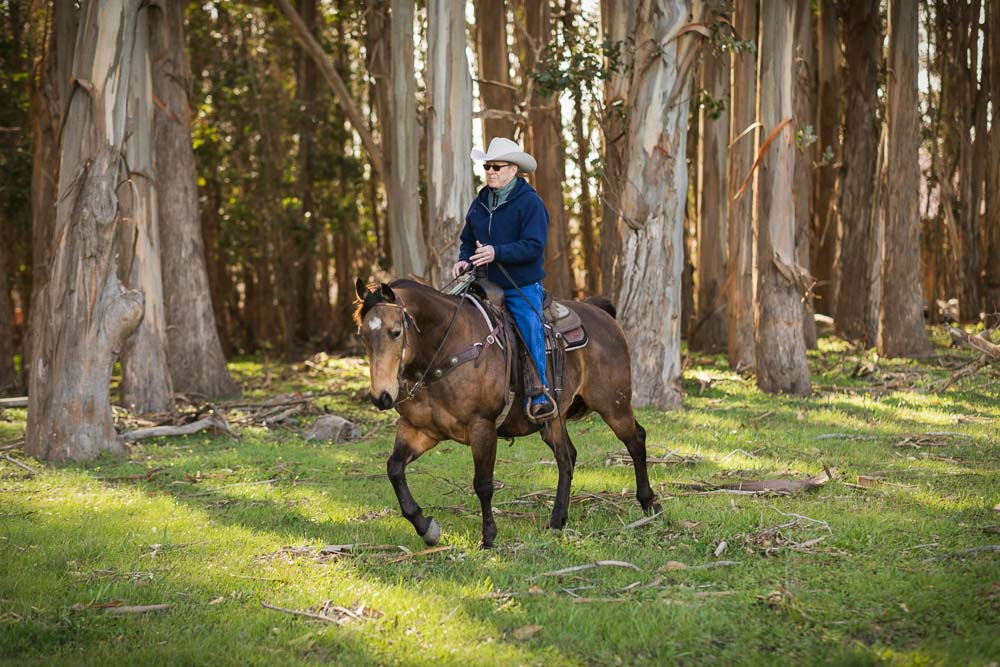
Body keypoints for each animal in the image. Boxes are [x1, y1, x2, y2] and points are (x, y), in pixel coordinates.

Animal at [356, 278, 660, 548]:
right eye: (363, 335)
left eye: (396, 332)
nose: (381, 396)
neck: (445, 349)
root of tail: (601, 314)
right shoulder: (419, 429)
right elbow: (394, 469)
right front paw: (426, 528)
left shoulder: (482, 427)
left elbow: (483, 484)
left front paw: (488, 537)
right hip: (554, 419)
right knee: (567, 457)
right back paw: (557, 519)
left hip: (613, 404)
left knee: (636, 440)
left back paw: (648, 503)